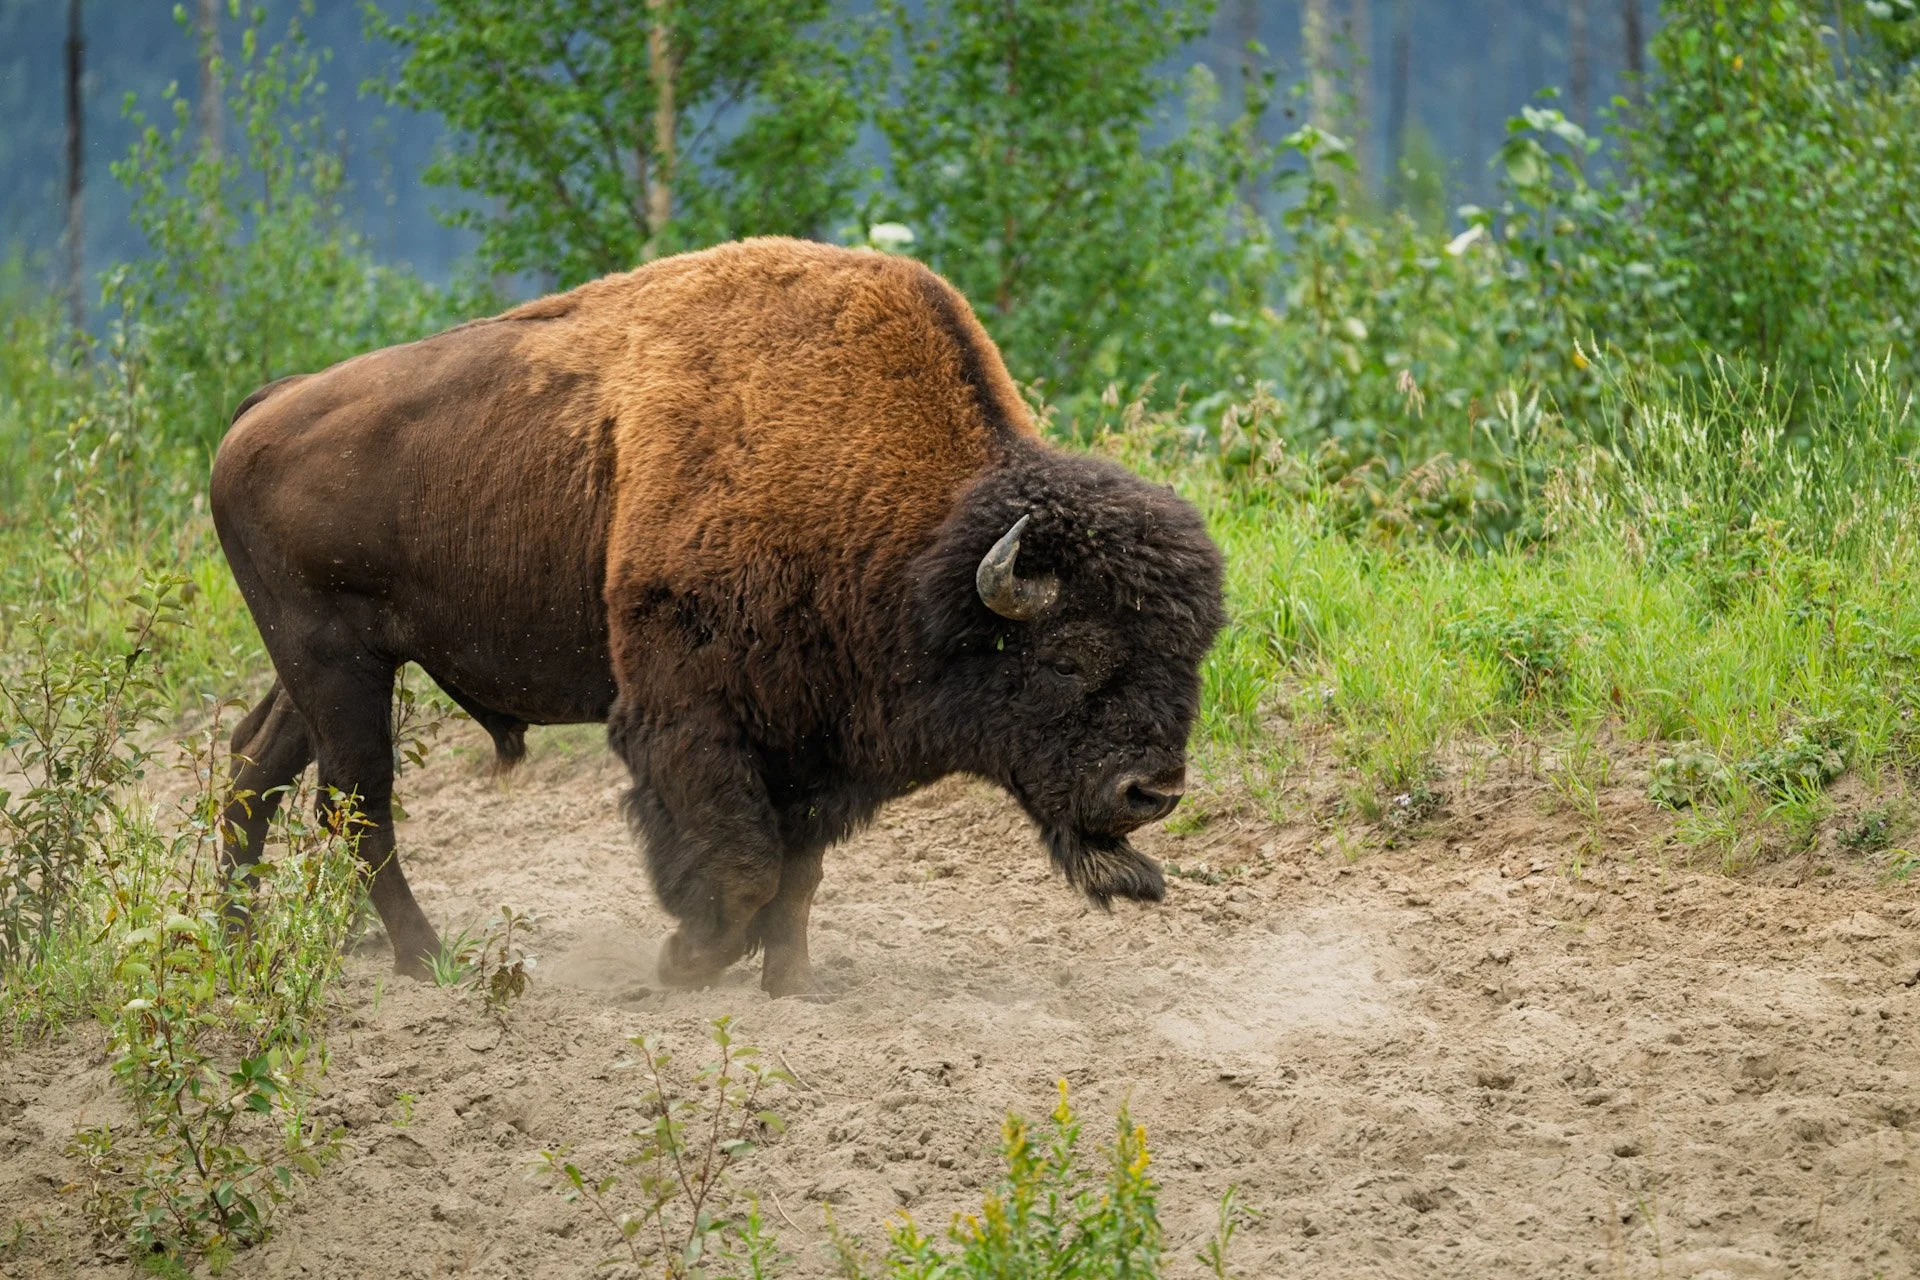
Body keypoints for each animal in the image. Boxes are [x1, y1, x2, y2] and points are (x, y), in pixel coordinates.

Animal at [211, 237, 1224, 996]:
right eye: (1069, 658)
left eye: (1191, 656)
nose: (1153, 792)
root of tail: (264, 408)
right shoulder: (691, 717)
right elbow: (743, 862)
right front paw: (686, 960)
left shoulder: (819, 738)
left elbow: (799, 872)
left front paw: (792, 983)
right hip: (337, 662)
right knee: (358, 802)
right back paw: (427, 961)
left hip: (332, 667)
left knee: (258, 762)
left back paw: (232, 940)